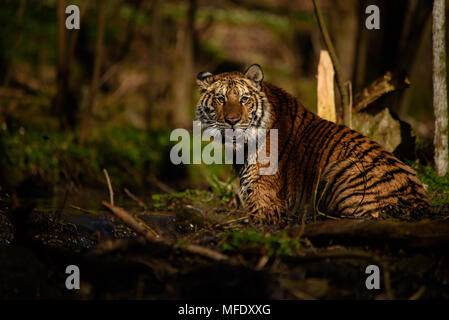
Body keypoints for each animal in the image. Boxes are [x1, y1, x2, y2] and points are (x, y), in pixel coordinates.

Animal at [195, 63, 430, 224]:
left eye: (244, 99)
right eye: (220, 99)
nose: (232, 121)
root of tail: (417, 201)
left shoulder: (261, 195)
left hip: (339, 171)